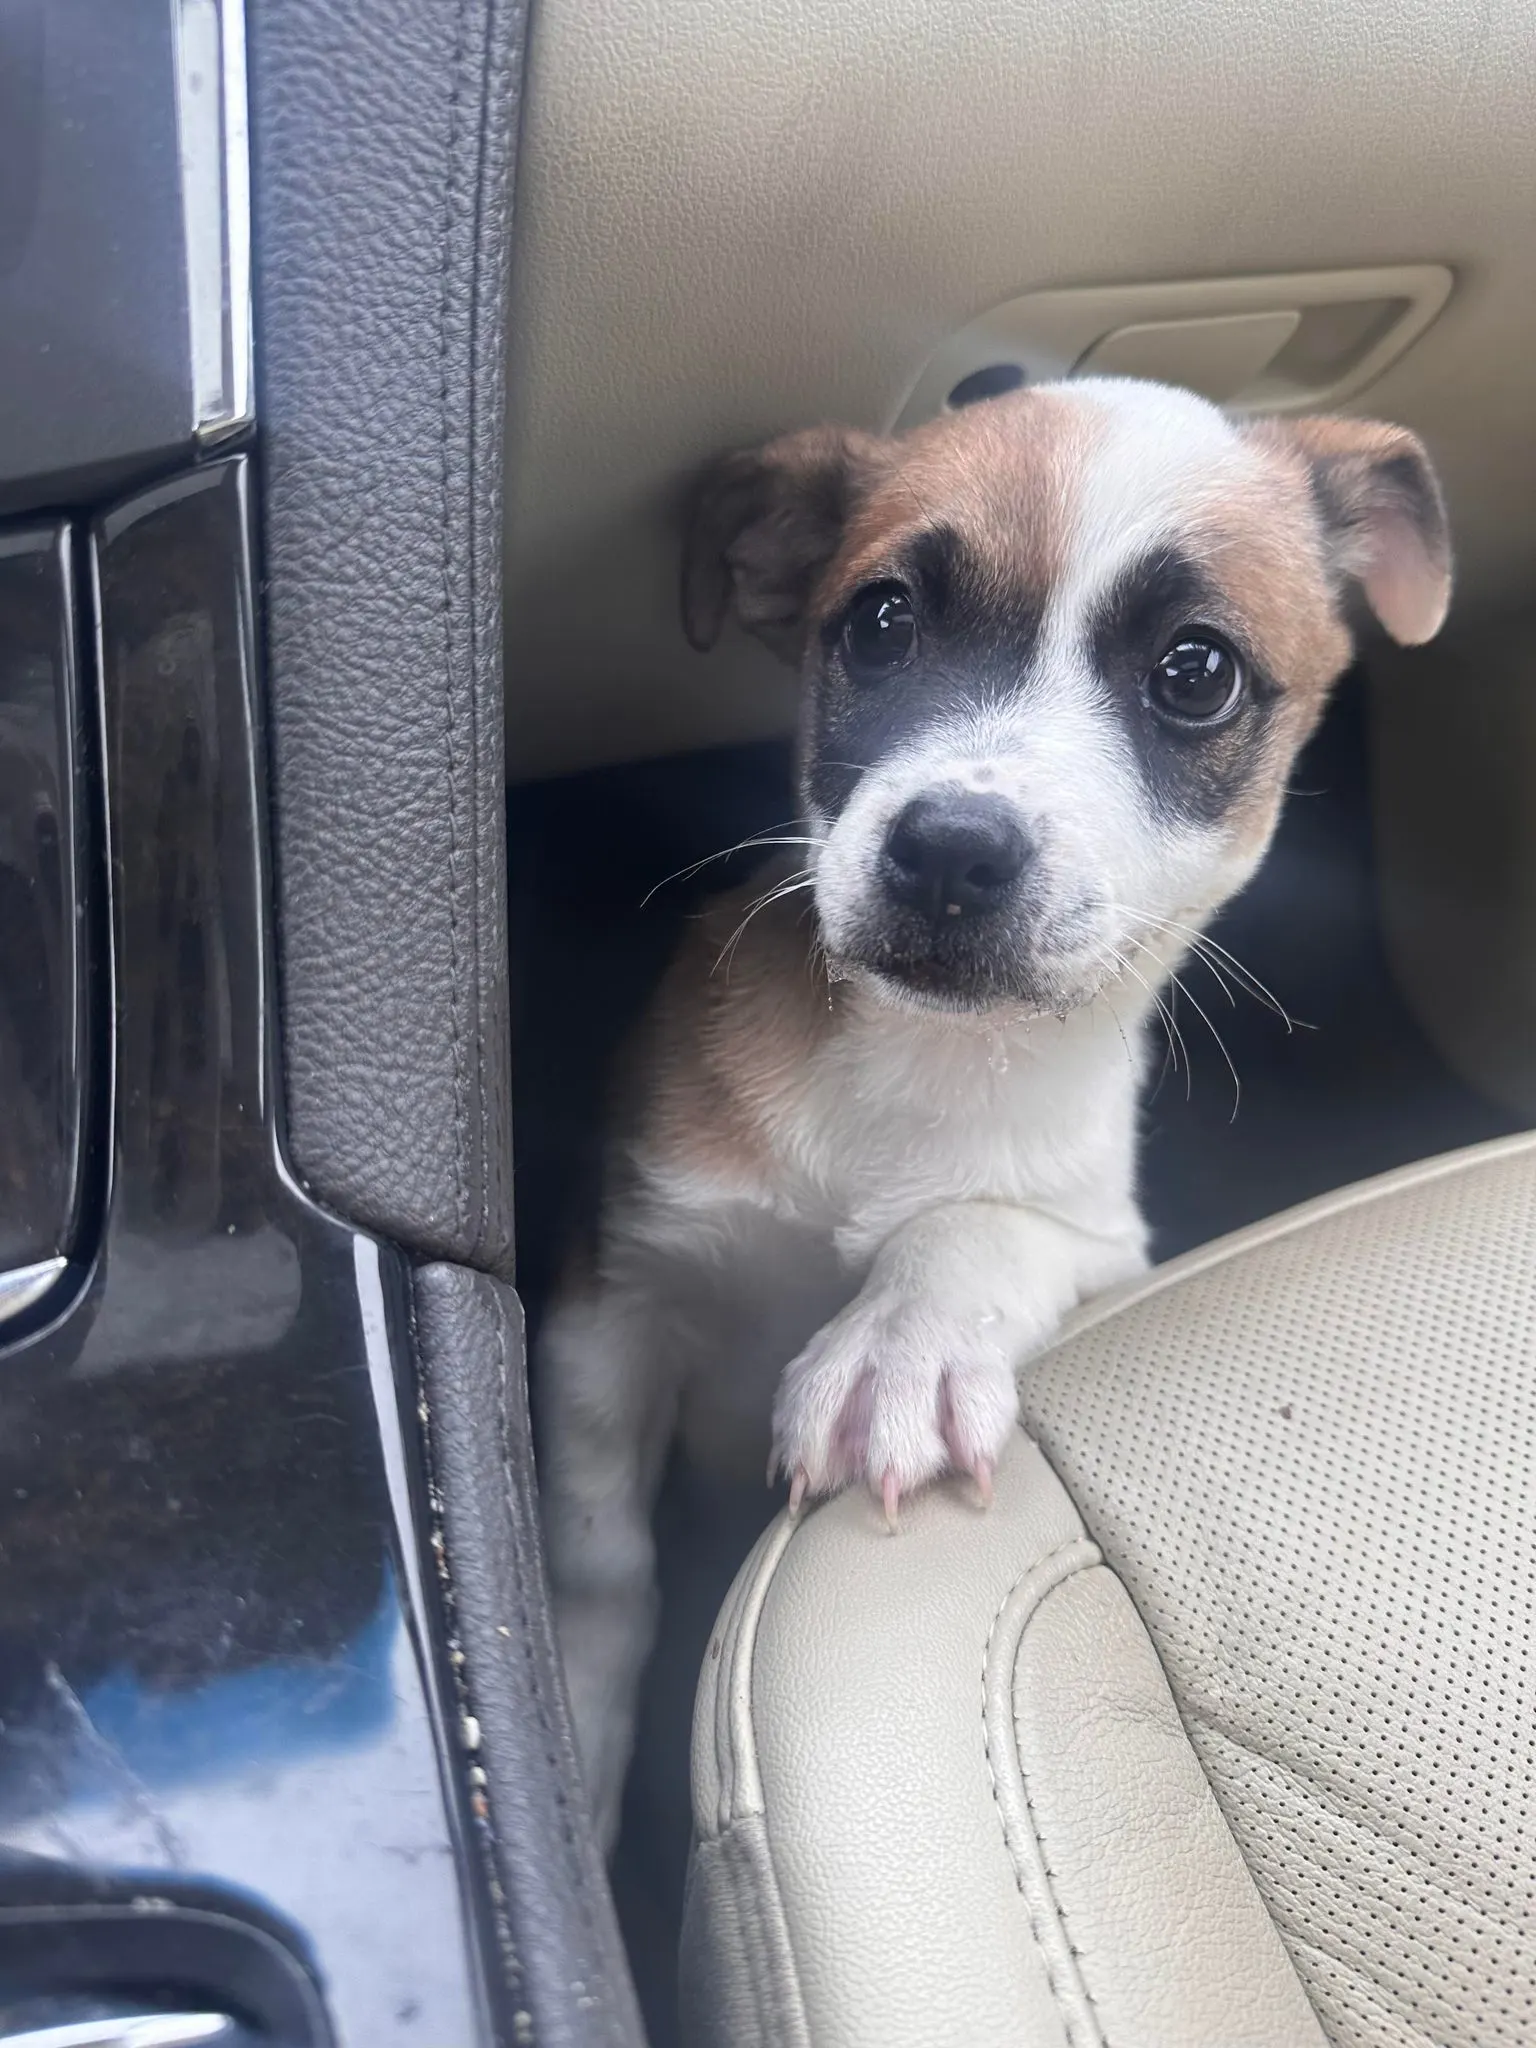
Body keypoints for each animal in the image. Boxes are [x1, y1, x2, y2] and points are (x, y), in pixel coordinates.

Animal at [540, 376, 1458, 1851]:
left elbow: (975, 1231)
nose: (950, 852)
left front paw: (901, 1346)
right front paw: (575, 1710)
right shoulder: (613, 1286)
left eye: (1195, 672)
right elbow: (597, 1555)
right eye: (881, 621)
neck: (924, 1060)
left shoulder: (1101, 1236)